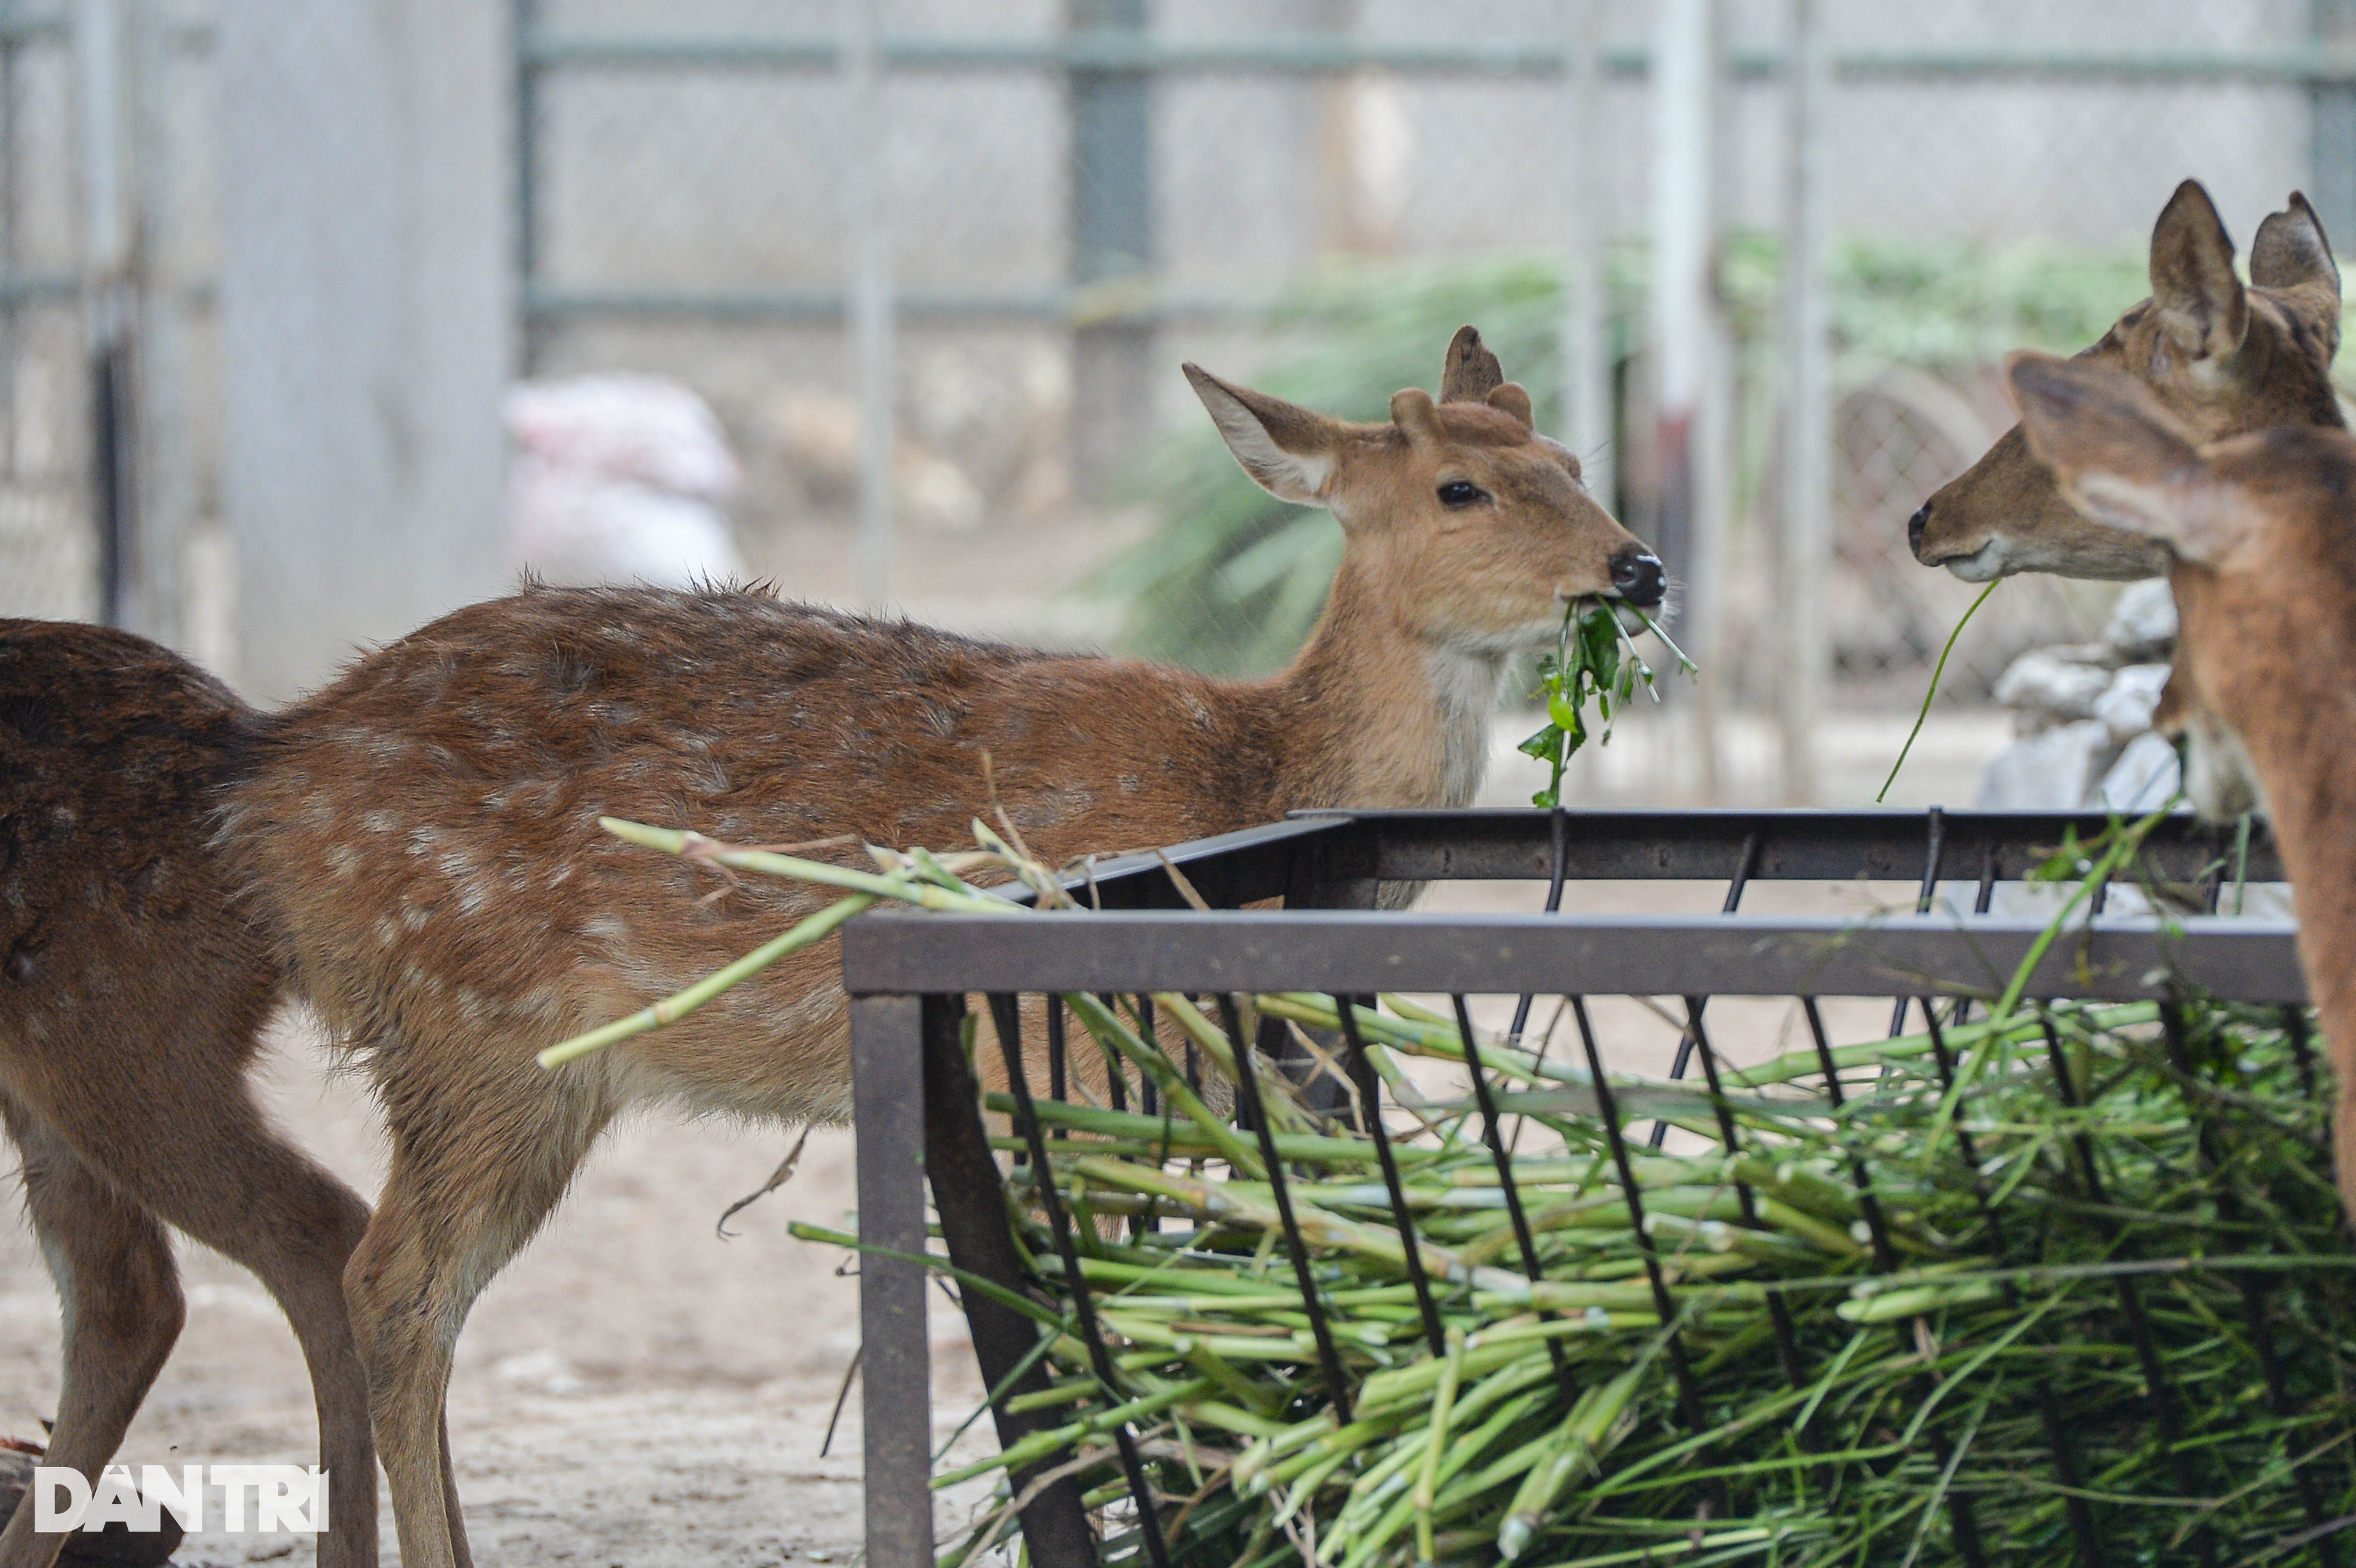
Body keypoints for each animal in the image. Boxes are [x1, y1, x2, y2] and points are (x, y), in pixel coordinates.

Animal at [4, 329, 1659, 1563]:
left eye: (1576, 465)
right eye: (1460, 487)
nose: (1637, 568)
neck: (1245, 790)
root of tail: (265, 775)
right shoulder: (1052, 1060)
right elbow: (1074, 1320)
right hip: (468, 1031)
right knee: (383, 1282)